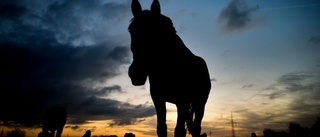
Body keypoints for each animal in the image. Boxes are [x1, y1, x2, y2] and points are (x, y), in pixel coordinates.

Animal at [129, 0, 211, 136]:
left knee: (196, 126)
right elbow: (162, 128)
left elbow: (179, 130)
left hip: (199, 103)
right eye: (131, 31)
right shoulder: (158, 98)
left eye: (155, 31)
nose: (136, 73)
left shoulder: (183, 100)